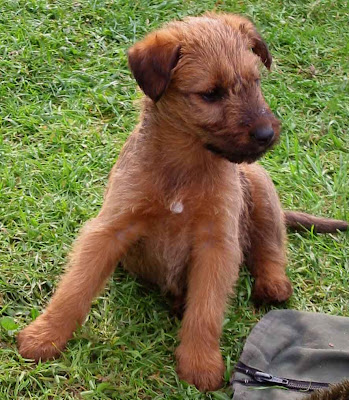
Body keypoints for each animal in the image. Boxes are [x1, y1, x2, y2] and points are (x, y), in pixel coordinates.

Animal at [17, 13, 348, 394]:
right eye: (210, 94)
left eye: (255, 82)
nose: (267, 135)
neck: (185, 165)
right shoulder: (111, 228)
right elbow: (74, 288)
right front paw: (44, 335)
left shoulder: (216, 244)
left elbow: (206, 311)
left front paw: (200, 363)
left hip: (260, 188)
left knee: (270, 246)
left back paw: (272, 284)